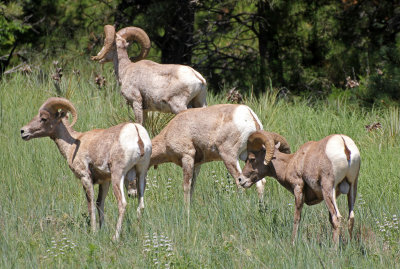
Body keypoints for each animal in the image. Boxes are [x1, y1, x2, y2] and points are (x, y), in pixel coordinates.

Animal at [20, 97, 152, 240]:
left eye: (43, 118)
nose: (23, 131)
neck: (73, 144)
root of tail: (136, 132)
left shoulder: (85, 177)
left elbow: (91, 205)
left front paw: (93, 232)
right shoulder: (105, 181)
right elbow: (99, 204)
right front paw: (101, 229)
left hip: (118, 175)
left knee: (122, 203)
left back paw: (115, 237)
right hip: (141, 174)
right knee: (141, 205)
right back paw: (138, 232)